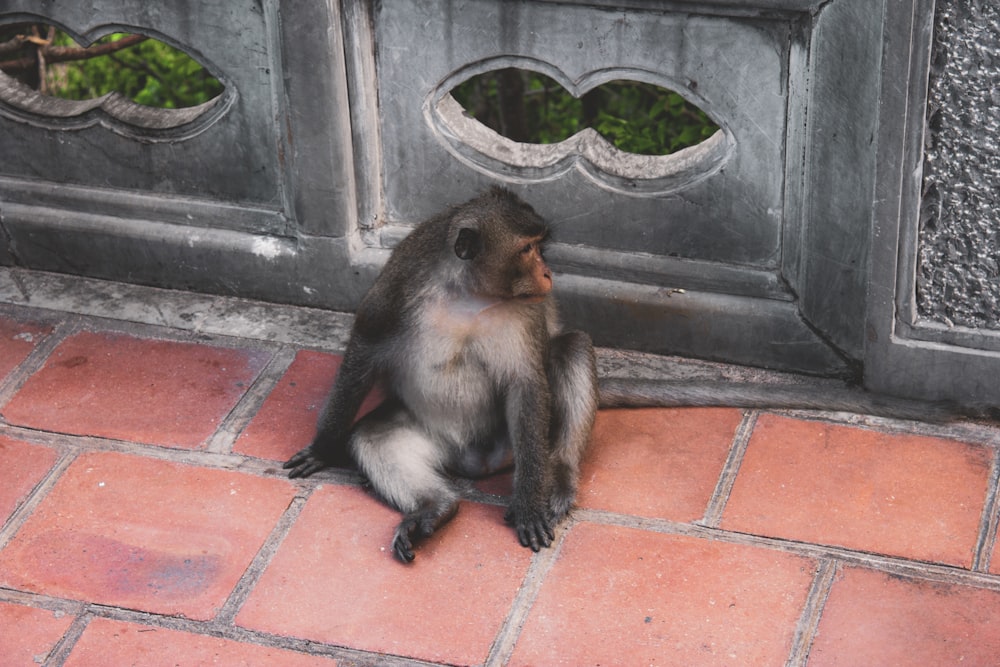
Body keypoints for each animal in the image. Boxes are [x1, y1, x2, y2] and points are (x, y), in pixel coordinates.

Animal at [284, 185, 984, 560]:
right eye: (530, 249)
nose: (549, 273)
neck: (467, 295)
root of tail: (475, 464)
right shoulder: (400, 286)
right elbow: (364, 349)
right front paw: (322, 447)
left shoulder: (522, 317)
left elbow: (530, 382)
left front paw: (532, 503)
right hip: (439, 442)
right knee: (377, 437)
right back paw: (435, 509)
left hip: (515, 446)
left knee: (568, 353)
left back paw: (556, 482)